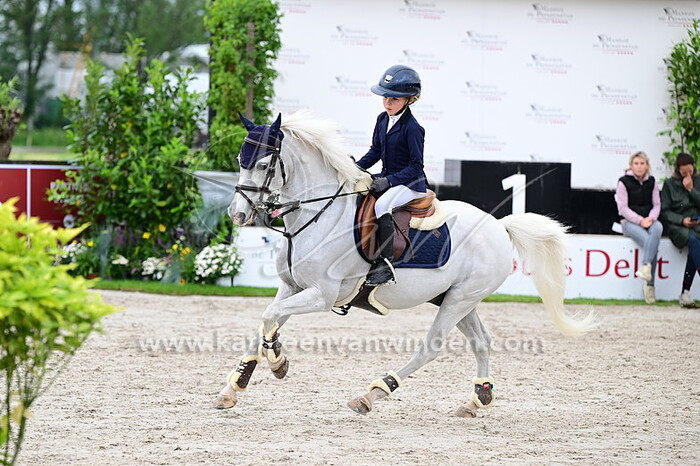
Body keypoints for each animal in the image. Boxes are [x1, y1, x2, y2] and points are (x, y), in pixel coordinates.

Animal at [216, 110, 596, 417]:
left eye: (263, 165)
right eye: (240, 160)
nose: (237, 214)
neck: (317, 215)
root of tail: (499, 226)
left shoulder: (322, 295)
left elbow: (269, 316)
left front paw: (277, 361)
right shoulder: (292, 286)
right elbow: (267, 318)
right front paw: (235, 386)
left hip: (459, 300)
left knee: (431, 347)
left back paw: (373, 393)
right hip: (459, 298)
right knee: (481, 341)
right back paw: (477, 400)